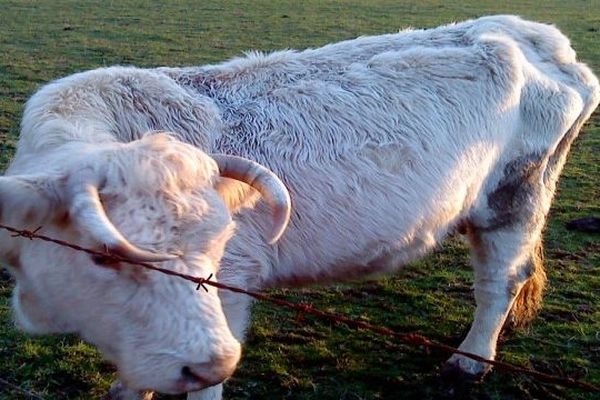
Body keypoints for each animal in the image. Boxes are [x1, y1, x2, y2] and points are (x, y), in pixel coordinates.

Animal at [1, 14, 600, 398]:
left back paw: (469, 362)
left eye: (215, 251)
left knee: (501, 279)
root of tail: (540, 36)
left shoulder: (230, 291)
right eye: (104, 255)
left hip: (515, 198)